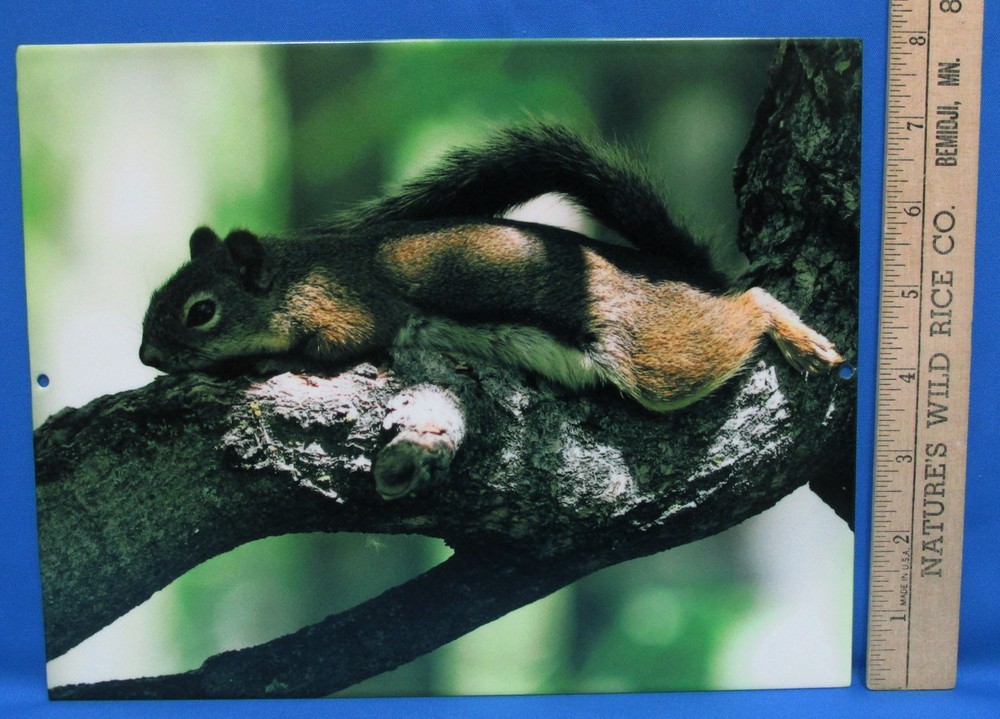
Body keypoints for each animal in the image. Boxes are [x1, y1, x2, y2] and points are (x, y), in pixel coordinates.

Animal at [139, 124, 842, 413]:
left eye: (202, 312)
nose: (147, 355)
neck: (293, 277)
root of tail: (684, 277)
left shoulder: (349, 305)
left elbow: (336, 347)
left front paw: (262, 361)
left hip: (658, 354)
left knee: (744, 307)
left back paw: (795, 335)